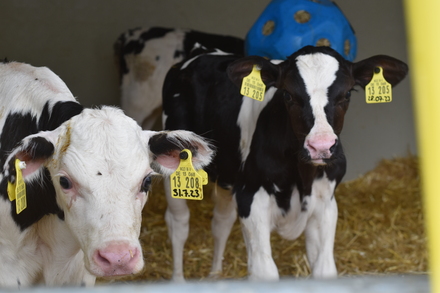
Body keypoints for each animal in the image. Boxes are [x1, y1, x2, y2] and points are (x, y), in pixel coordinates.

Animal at [162, 44, 410, 280]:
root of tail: (203, 52)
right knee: (178, 224)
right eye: (288, 94)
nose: (321, 146)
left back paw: (215, 274)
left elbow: (325, 269)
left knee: (221, 222)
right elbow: (265, 271)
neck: (301, 178)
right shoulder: (251, 198)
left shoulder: (325, 202)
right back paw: (178, 279)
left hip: (226, 173)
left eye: (348, 93)